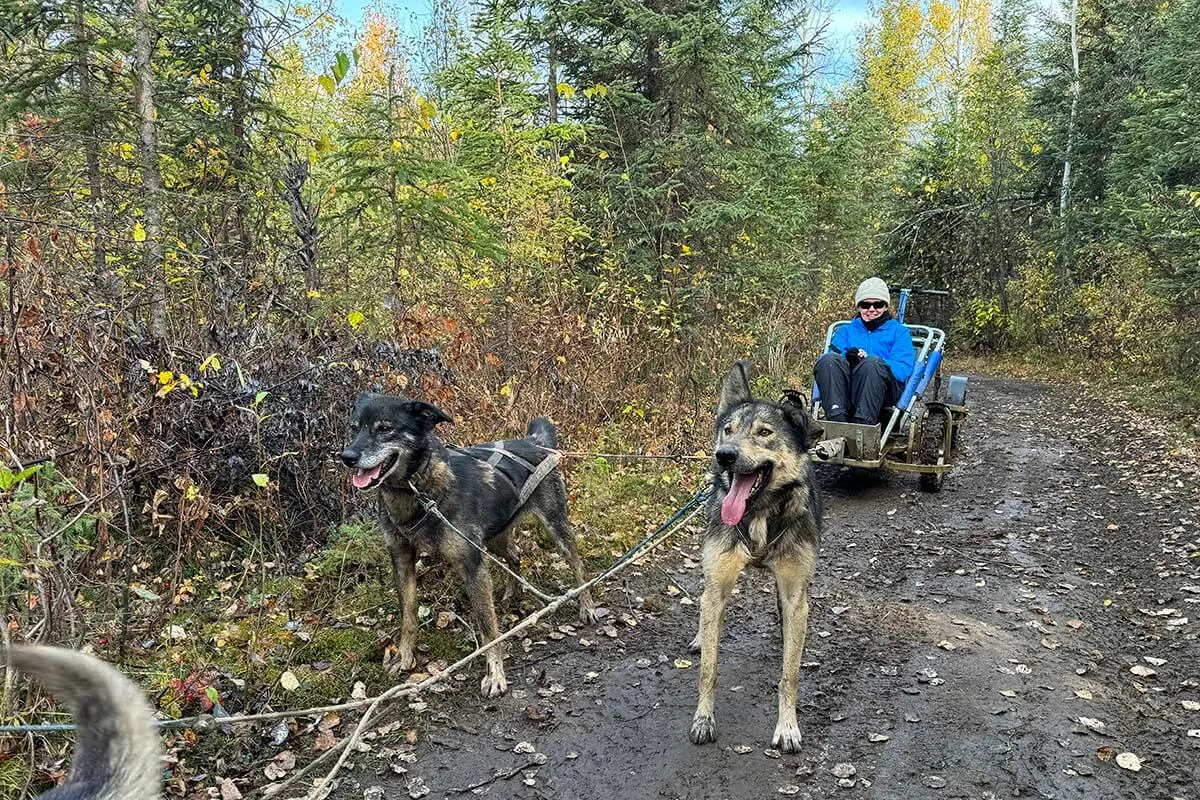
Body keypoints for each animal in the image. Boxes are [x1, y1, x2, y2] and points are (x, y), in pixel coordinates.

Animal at [340, 391, 597, 695]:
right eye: (354, 428)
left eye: (385, 428)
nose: (347, 457)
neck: (417, 491)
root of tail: (536, 442)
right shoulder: (402, 560)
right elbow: (409, 617)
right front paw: (404, 657)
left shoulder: (472, 565)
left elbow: (488, 627)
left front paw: (495, 674)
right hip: (496, 537)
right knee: (515, 555)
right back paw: (512, 593)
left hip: (555, 526)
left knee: (577, 566)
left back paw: (586, 606)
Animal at [686, 362, 825, 753]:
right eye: (728, 430)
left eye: (764, 433)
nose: (725, 455)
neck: (759, 512)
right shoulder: (718, 586)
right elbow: (708, 670)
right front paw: (704, 719)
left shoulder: (795, 591)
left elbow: (789, 675)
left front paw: (788, 726)